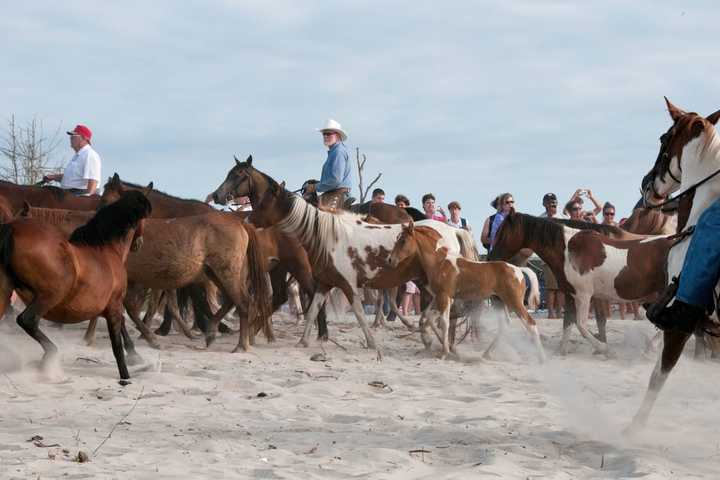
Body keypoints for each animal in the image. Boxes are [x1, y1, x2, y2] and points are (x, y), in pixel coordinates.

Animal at [0, 191, 150, 382]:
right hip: (50, 295)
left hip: (5, 292)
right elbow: (117, 344)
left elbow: (122, 326)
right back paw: (49, 359)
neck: (108, 251)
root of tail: (11, 228)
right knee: (28, 320)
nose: (139, 244)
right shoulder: (114, 304)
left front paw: (136, 358)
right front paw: (126, 376)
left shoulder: (107, 307)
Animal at [208, 157, 478, 352]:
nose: (246, 221)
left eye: (238, 175)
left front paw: (367, 341)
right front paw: (305, 340)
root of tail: (453, 230)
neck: (323, 232)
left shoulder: (345, 283)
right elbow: (314, 307)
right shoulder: (324, 281)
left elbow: (355, 311)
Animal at [390, 223, 544, 362]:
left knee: (530, 323)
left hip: (514, 301)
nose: (390, 260)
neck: (440, 262)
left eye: (403, 241)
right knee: (505, 325)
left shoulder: (445, 297)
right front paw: (435, 343)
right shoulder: (438, 296)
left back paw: (541, 358)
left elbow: (444, 322)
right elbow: (428, 316)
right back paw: (486, 353)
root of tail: (518, 270)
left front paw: (444, 353)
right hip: (498, 301)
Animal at [490, 212, 676, 354]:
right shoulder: (570, 294)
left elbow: (581, 325)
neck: (569, 251)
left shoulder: (584, 295)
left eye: (502, 233)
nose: (491, 257)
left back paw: (652, 347)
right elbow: (568, 322)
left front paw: (602, 347)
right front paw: (562, 351)